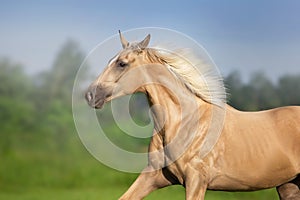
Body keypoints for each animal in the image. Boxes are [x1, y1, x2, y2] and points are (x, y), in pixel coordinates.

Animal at [85, 32, 300, 199]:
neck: (183, 123)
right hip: (288, 185)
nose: (90, 95)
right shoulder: (153, 176)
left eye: (122, 64)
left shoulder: (196, 180)